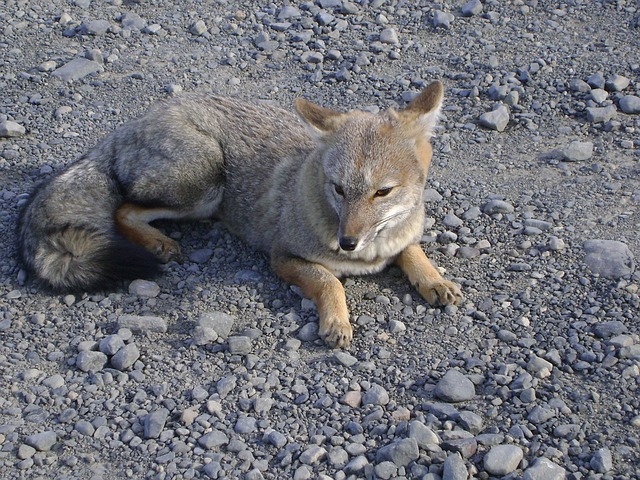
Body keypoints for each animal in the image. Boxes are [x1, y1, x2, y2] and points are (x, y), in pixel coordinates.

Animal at [16, 80, 460, 346]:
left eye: (382, 192)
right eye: (338, 188)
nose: (347, 243)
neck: (372, 252)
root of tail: (130, 124)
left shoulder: (400, 237)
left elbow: (411, 250)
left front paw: (434, 279)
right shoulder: (283, 257)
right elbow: (329, 281)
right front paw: (337, 320)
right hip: (204, 180)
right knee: (124, 208)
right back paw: (157, 243)